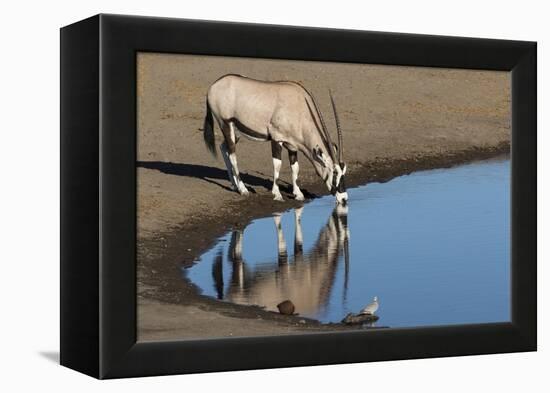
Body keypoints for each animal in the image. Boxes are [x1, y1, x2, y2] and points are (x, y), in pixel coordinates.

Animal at [203, 72, 350, 205]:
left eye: (344, 172)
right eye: (334, 173)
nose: (344, 198)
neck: (299, 106)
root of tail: (214, 86)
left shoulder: (292, 145)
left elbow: (295, 168)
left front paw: (298, 194)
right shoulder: (276, 139)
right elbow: (277, 164)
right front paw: (277, 194)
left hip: (236, 132)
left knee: (224, 147)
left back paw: (234, 185)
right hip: (226, 124)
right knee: (233, 155)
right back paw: (243, 189)